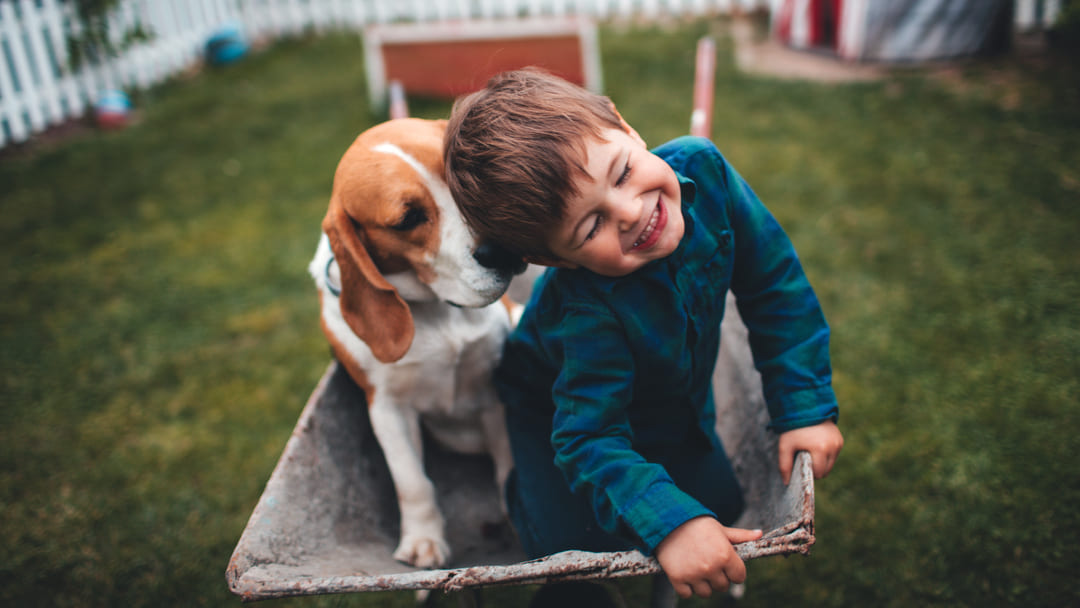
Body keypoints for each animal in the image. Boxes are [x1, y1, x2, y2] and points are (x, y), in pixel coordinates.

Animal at [308, 117, 518, 570]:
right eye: (408, 219)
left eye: (462, 174)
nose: (503, 249)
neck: (438, 310)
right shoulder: (387, 408)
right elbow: (412, 481)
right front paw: (423, 540)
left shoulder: (495, 390)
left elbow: (510, 461)